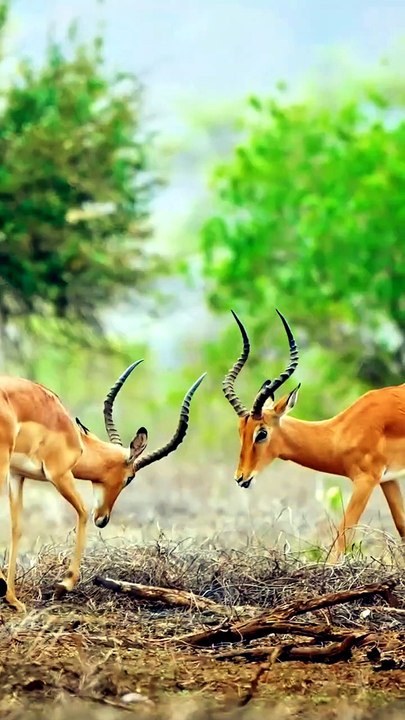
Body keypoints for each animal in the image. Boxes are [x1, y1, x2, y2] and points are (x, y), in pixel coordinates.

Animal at [0, 361, 206, 611]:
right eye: (130, 477)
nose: (103, 519)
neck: (76, 439)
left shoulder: (17, 475)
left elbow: (16, 528)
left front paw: (13, 599)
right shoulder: (59, 474)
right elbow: (82, 512)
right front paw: (63, 585)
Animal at [222, 309, 405, 558]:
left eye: (261, 433)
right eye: (241, 431)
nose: (241, 477)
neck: (341, 431)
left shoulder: (365, 481)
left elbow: (341, 538)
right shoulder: (389, 479)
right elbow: (402, 527)